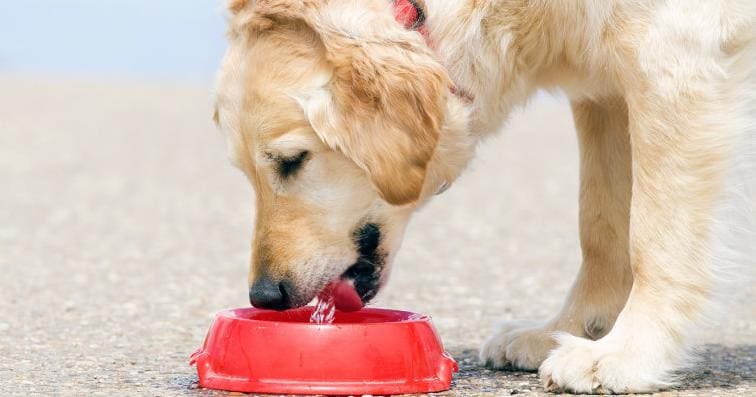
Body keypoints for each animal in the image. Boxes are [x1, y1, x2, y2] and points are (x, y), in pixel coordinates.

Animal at [214, 0, 756, 392]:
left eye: (291, 160)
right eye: (246, 172)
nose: (265, 296)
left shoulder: (671, 58)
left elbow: (653, 239)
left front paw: (628, 353)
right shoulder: (603, 90)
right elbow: (600, 226)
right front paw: (574, 329)